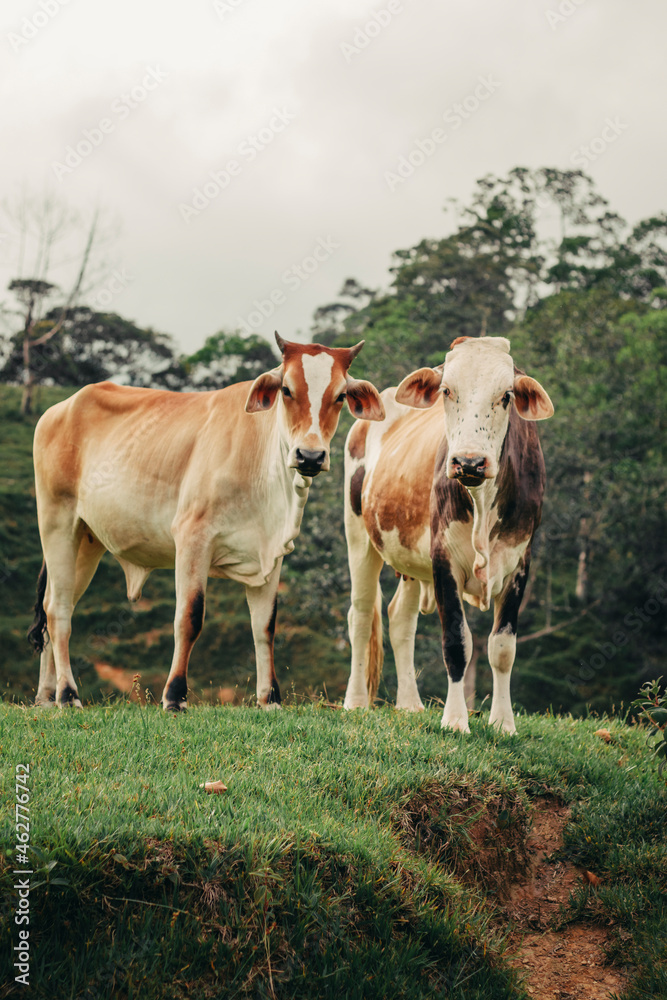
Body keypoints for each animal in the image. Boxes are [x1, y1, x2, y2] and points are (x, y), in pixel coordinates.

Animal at [30, 336, 386, 712]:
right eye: (287, 390)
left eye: (340, 395)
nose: (311, 457)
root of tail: (61, 408)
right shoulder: (192, 539)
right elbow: (189, 617)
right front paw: (174, 696)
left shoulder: (272, 553)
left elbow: (265, 625)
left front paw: (270, 698)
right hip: (57, 524)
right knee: (58, 612)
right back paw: (67, 694)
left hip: (86, 542)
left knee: (54, 607)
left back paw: (46, 696)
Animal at [342, 336, 556, 736]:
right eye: (446, 390)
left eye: (506, 395)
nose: (469, 462)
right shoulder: (444, 561)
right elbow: (457, 642)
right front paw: (455, 720)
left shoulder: (520, 562)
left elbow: (502, 648)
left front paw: (503, 723)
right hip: (359, 536)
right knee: (361, 616)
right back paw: (355, 701)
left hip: (410, 558)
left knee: (400, 619)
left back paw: (409, 704)